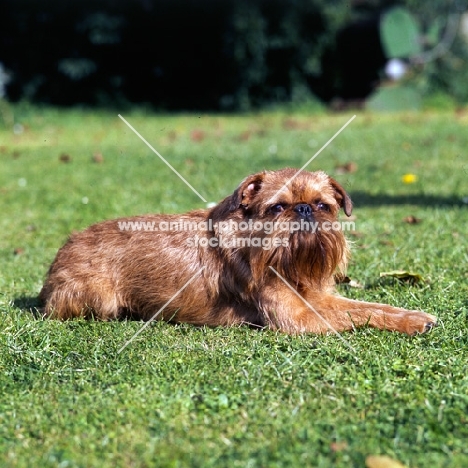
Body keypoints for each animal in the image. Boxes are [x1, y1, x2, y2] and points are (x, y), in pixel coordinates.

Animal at [38, 166, 436, 334]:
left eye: (323, 205)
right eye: (277, 207)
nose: (303, 209)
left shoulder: (320, 298)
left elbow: (370, 307)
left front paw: (414, 316)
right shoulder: (299, 317)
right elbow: (358, 316)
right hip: (99, 299)